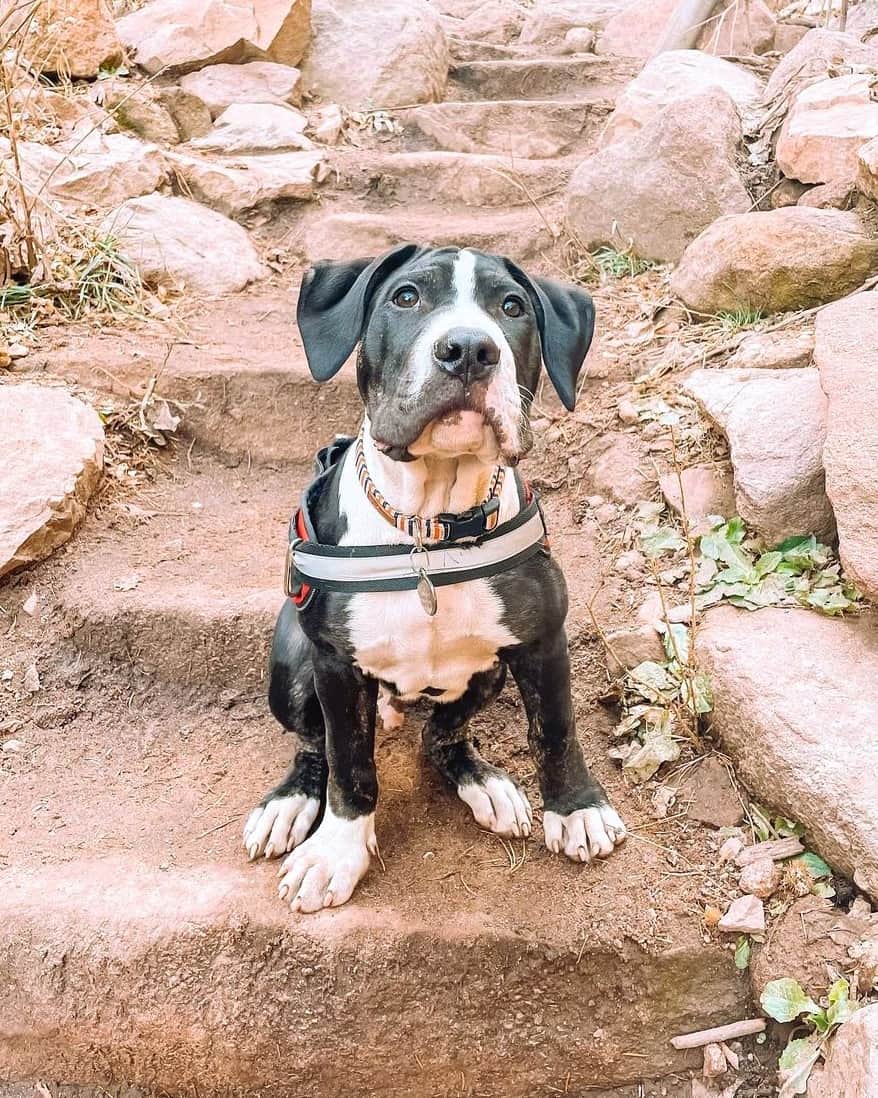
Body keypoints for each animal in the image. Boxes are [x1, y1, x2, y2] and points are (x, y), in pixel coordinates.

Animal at [241, 244, 623, 913]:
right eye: (407, 297)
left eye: (513, 307)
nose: (469, 349)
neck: (428, 531)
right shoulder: (335, 666)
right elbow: (348, 760)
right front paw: (337, 850)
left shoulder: (543, 640)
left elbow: (555, 727)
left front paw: (576, 808)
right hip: (292, 668)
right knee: (313, 744)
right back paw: (291, 802)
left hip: (486, 673)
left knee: (442, 736)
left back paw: (484, 782)